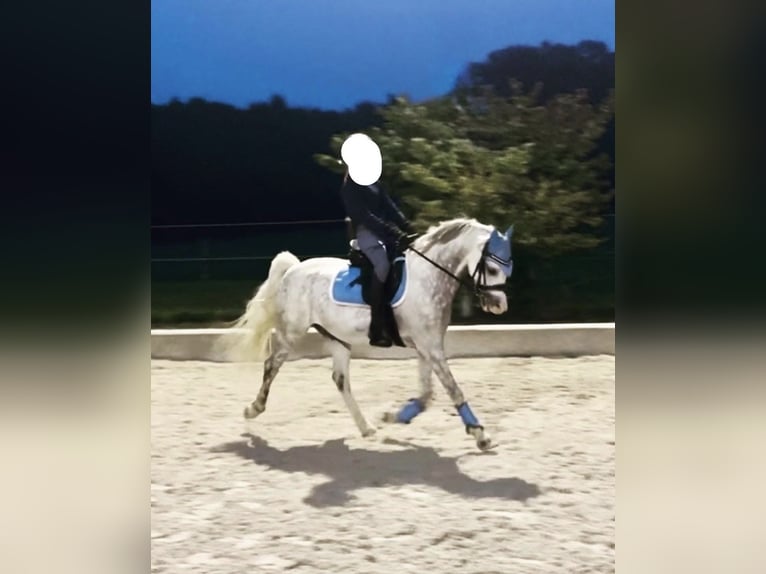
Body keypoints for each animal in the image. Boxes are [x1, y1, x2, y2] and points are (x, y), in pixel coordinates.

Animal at [227, 217, 514, 451]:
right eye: (491, 269)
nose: (499, 305)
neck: (427, 277)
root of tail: (292, 270)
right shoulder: (430, 347)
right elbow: (453, 390)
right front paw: (480, 435)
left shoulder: (426, 346)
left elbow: (425, 395)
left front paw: (392, 417)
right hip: (292, 332)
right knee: (271, 364)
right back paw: (253, 409)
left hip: (338, 338)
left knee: (340, 380)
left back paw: (366, 427)